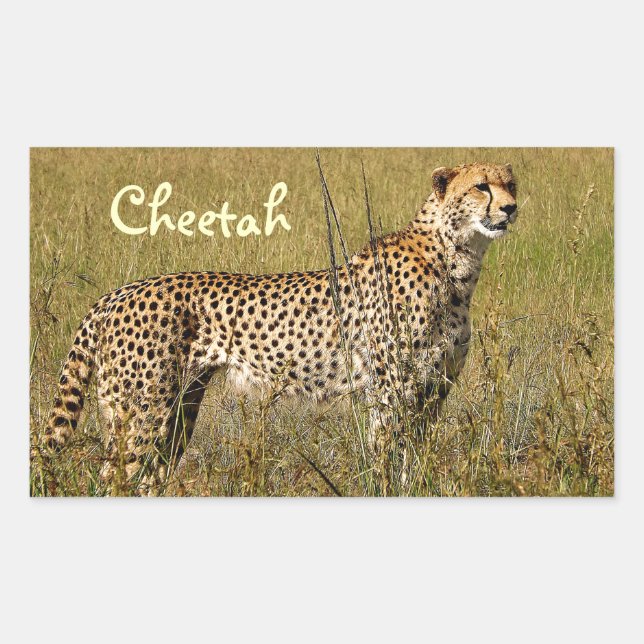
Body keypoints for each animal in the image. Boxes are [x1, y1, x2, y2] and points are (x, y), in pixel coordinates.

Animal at [40, 162, 518, 493]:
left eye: (510, 185)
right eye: (480, 186)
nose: (511, 208)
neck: (455, 258)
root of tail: (116, 293)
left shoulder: (434, 387)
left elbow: (417, 455)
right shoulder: (391, 390)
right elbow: (389, 453)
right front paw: (390, 489)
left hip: (178, 409)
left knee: (146, 479)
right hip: (140, 412)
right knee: (113, 479)